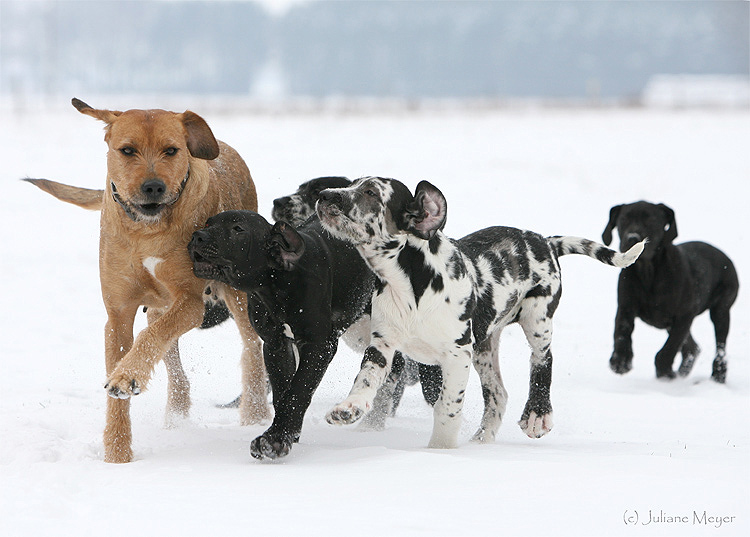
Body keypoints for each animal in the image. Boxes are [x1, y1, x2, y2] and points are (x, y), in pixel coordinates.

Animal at [25, 98, 274, 462]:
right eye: (127, 150)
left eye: (171, 150)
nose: (153, 187)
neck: (147, 229)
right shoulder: (118, 313)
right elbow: (127, 357)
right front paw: (117, 454)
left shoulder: (190, 302)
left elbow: (149, 340)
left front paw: (127, 375)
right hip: (158, 308)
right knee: (167, 346)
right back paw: (177, 414)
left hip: (235, 288)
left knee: (250, 344)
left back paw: (254, 412)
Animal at [604, 201, 740, 382]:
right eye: (624, 219)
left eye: (651, 220)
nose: (632, 238)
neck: (649, 272)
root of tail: (726, 257)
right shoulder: (626, 307)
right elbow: (621, 332)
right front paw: (620, 361)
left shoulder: (685, 315)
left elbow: (668, 349)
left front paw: (664, 373)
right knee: (692, 348)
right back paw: (682, 373)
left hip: (721, 310)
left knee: (720, 346)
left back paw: (718, 374)